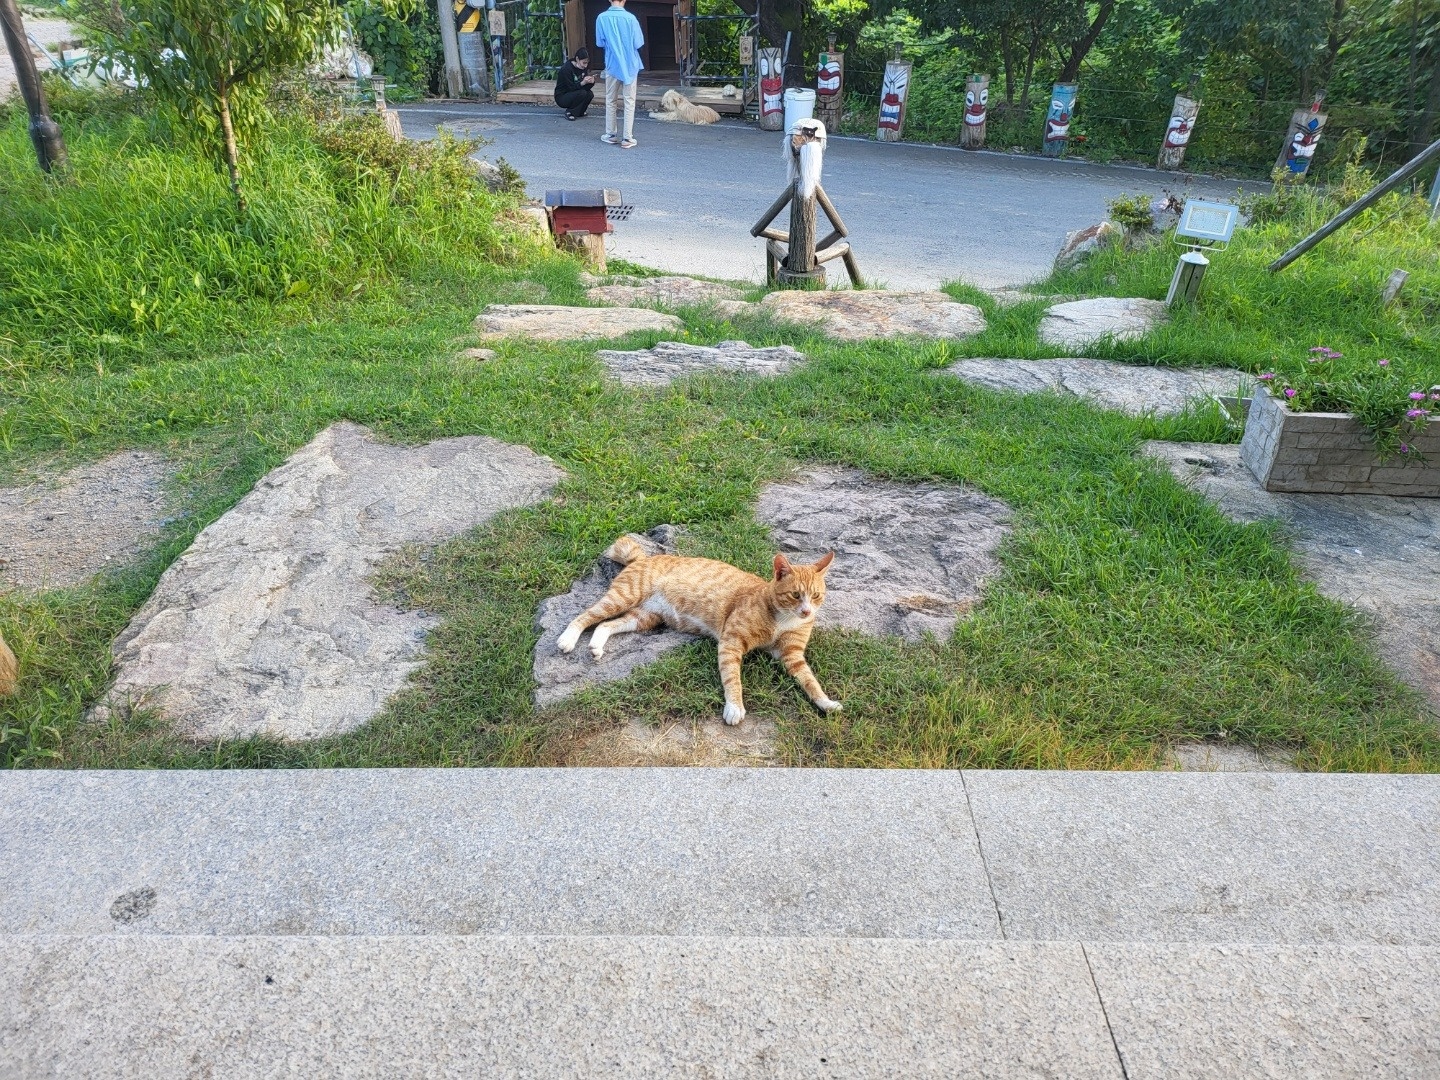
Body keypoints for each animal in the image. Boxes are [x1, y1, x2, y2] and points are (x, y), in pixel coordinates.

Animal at [552, 538, 840, 728]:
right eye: (795, 595)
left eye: (816, 596)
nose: (807, 611)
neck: (783, 618)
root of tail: (644, 557)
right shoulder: (731, 642)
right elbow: (732, 679)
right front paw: (734, 707)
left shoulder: (793, 655)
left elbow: (811, 681)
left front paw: (826, 703)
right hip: (622, 598)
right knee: (585, 616)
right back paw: (567, 639)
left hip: (644, 618)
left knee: (605, 625)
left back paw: (596, 646)